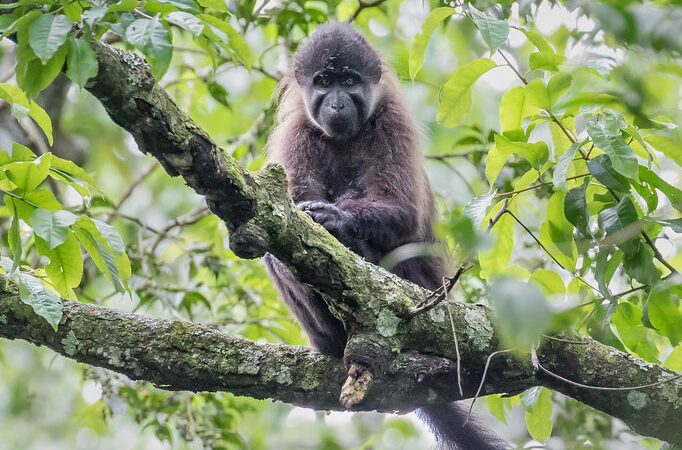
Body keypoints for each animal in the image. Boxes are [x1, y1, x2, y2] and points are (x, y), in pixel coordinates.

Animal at [263, 22, 508, 450]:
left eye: (349, 81)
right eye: (324, 82)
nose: (337, 104)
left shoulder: (393, 121)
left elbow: (405, 214)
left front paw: (336, 219)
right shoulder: (298, 133)